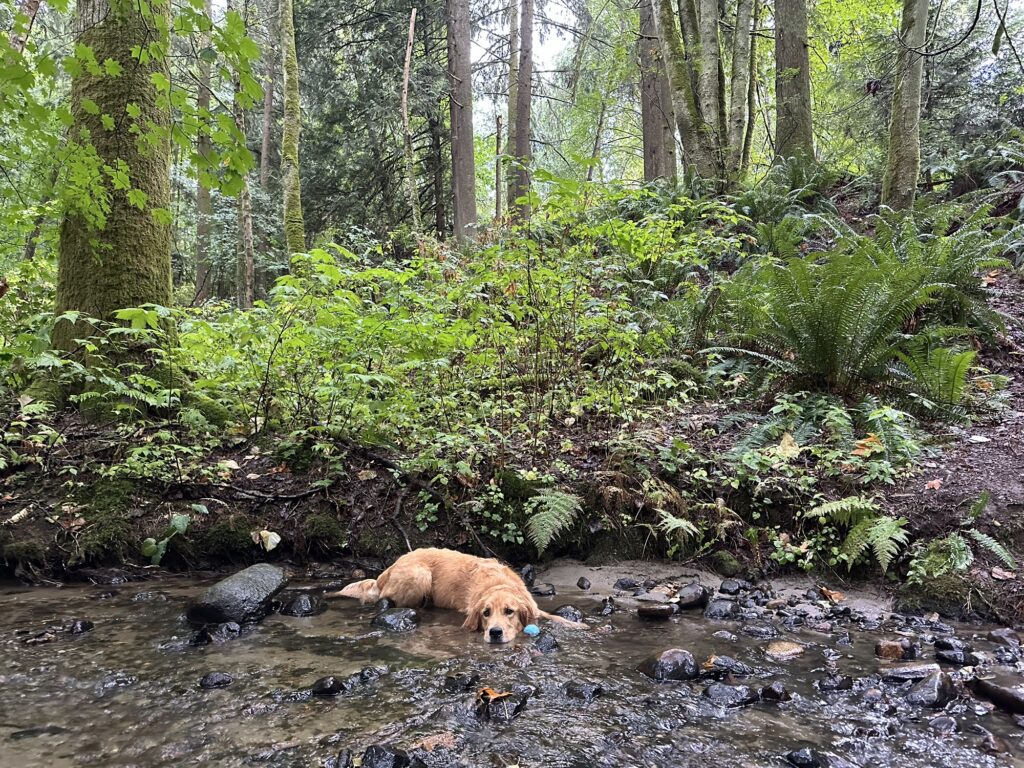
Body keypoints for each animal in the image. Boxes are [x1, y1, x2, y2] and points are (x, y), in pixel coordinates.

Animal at [327, 548, 585, 643]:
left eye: (509, 611)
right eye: (486, 613)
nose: (495, 633)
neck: (499, 584)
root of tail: (388, 568)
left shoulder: (534, 607)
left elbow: (553, 616)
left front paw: (577, 625)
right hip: (420, 576)